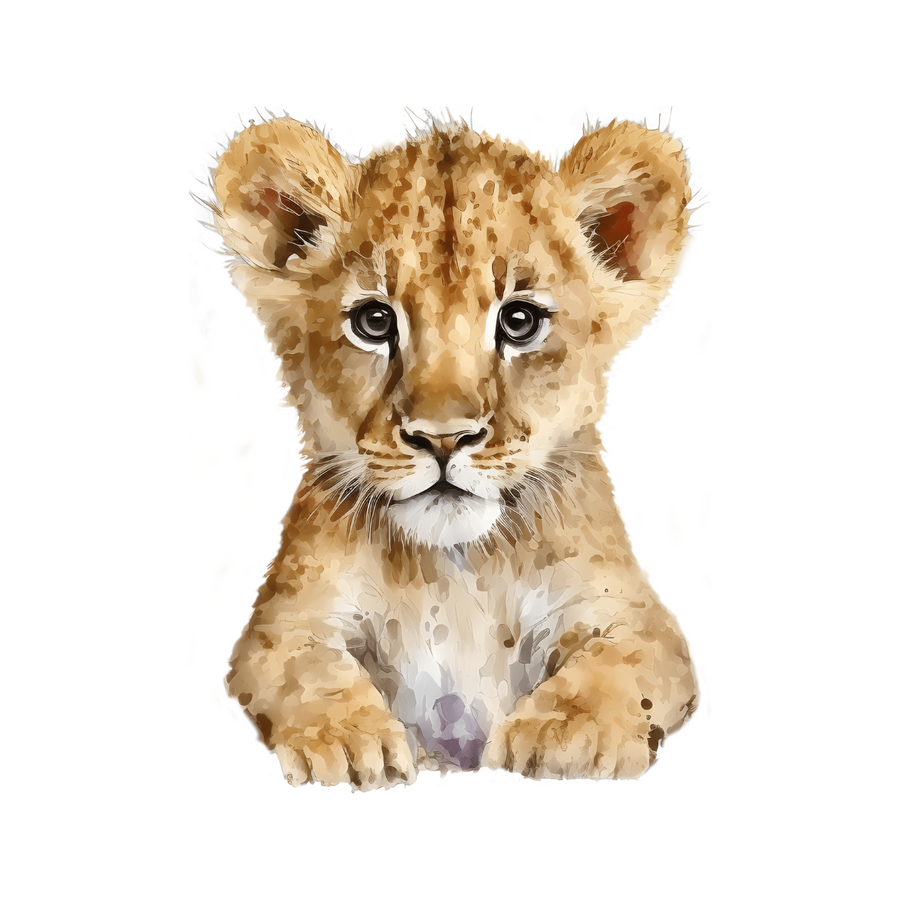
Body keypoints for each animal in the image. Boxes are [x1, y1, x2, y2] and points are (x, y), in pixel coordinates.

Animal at [209, 115, 697, 789]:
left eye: (519, 321)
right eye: (374, 321)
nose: (443, 438)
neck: (454, 569)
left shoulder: (635, 617)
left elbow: (616, 666)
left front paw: (563, 734)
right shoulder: (282, 623)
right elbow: (304, 670)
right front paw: (348, 740)